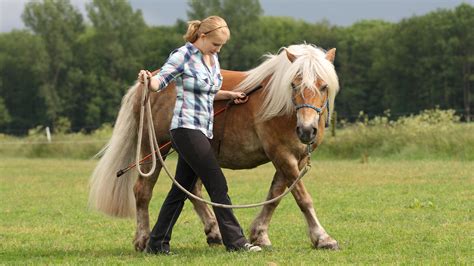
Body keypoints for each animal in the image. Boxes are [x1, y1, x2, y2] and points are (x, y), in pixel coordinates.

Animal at [89, 42, 338, 250]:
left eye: (323, 86)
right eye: (294, 85)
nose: (306, 130)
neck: (282, 107)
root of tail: (149, 80)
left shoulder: (295, 158)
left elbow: (276, 195)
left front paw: (260, 235)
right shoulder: (282, 155)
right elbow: (302, 197)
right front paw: (323, 237)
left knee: (191, 190)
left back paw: (214, 232)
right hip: (154, 149)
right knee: (143, 191)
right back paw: (143, 239)